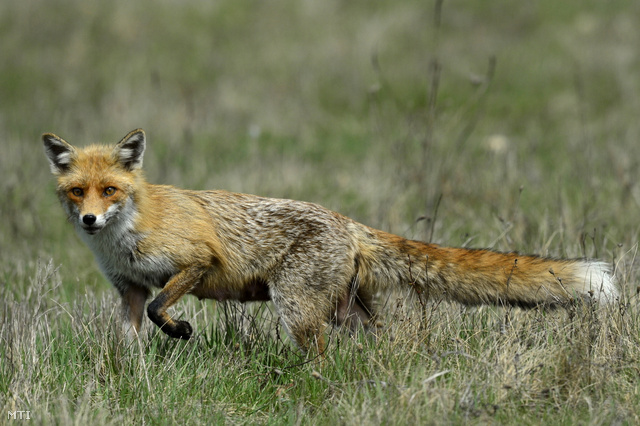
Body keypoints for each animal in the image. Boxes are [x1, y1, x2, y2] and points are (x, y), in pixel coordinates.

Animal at [42, 129, 616, 352]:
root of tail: (347, 221)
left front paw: (180, 331)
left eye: (110, 190)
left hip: (297, 310)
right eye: (76, 191)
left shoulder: (196, 261)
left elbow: (162, 307)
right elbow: (130, 338)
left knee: (320, 355)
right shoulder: (128, 288)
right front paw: (129, 378)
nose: (90, 220)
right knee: (381, 343)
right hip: (346, 313)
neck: (126, 235)